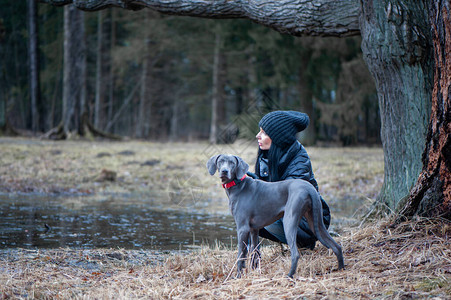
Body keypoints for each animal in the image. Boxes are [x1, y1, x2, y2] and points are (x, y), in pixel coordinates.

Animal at [207, 154, 344, 278]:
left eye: (232, 163)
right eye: (220, 161)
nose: (224, 171)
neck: (238, 185)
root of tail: (309, 188)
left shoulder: (242, 228)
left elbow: (241, 255)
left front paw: (238, 276)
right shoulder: (254, 229)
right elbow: (254, 251)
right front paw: (254, 272)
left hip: (289, 221)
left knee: (295, 254)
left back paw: (289, 276)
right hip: (316, 221)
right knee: (336, 246)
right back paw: (340, 269)